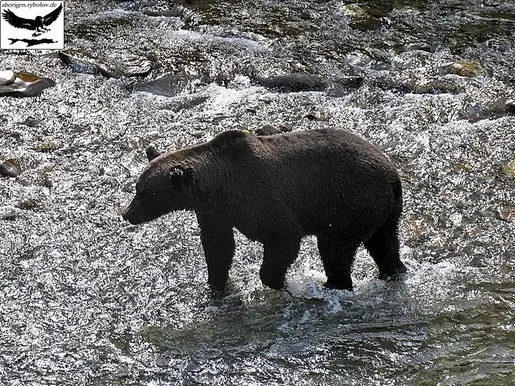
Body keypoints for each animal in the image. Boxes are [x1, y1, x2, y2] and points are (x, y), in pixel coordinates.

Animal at [122, 128, 408, 292]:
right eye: (137, 188)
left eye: (145, 193)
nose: (127, 214)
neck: (220, 186)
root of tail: (393, 175)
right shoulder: (215, 212)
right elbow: (218, 246)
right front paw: (215, 281)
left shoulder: (260, 198)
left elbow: (284, 237)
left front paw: (278, 281)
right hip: (383, 212)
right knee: (384, 243)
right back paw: (394, 270)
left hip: (349, 203)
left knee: (335, 248)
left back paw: (334, 284)